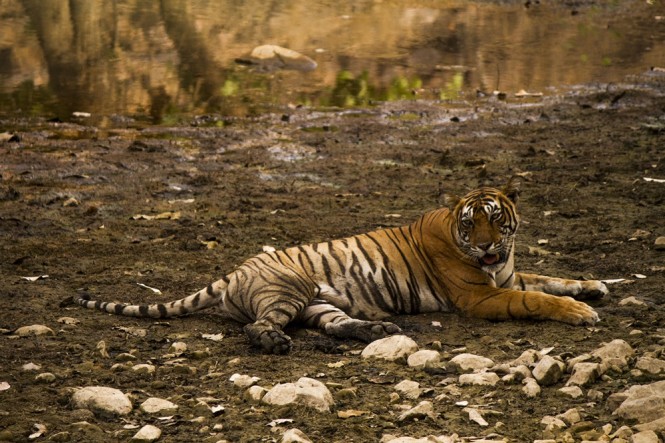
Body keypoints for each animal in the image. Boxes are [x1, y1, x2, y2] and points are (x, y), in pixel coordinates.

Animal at [78, 179, 608, 356]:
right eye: (469, 223)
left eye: (496, 220)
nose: (485, 247)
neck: (500, 262)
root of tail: (234, 271)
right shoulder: (484, 294)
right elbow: (536, 297)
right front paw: (580, 312)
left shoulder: (508, 274)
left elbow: (550, 277)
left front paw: (593, 286)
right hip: (290, 288)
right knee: (258, 327)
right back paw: (275, 343)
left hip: (318, 304)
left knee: (335, 325)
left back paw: (377, 329)